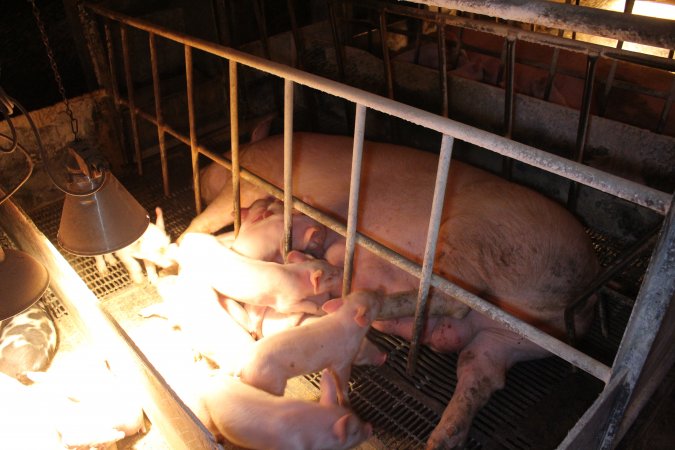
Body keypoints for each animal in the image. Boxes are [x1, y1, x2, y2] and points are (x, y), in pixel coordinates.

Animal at [182, 132, 600, 448]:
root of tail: (582, 291)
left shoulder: (246, 179)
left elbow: (201, 223)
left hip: (474, 238)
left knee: (448, 298)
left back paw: (348, 300)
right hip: (507, 340)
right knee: (480, 372)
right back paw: (440, 438)